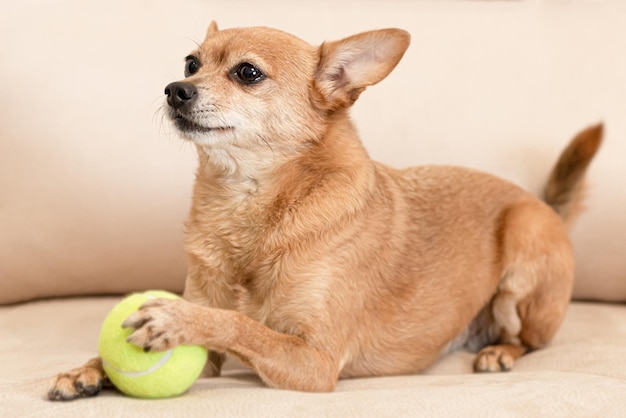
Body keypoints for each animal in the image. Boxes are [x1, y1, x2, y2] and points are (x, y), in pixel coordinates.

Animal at [47, 21, 600, 400]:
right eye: (190, 64)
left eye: (247, 73)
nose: (174, 89)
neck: (247, 205)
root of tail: (540, 202)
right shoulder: (216, 356)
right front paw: (88, 369)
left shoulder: (315, 360)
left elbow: (242, 324)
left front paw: (178, 318)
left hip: (524, 251)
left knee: (530, 339)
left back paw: (499, 351)